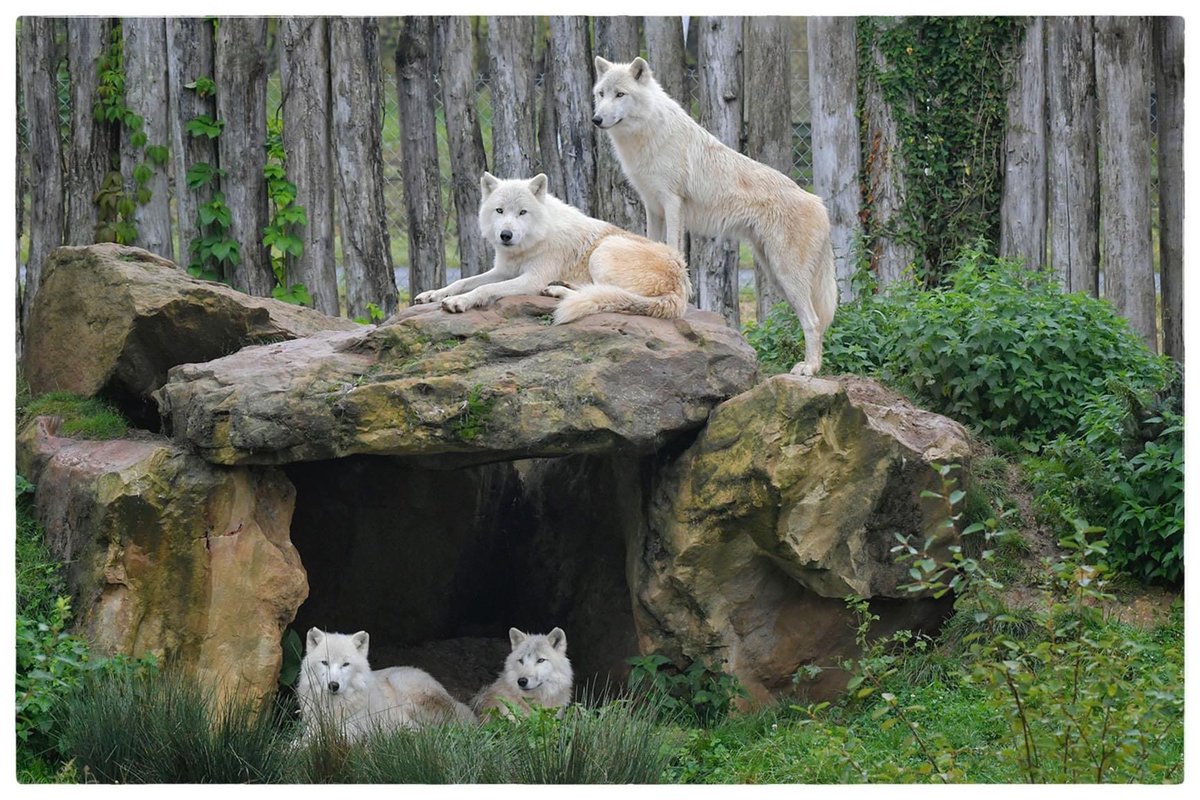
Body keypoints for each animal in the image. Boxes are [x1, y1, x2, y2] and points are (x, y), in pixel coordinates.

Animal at [296, 628, 475, 740]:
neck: (334, 706)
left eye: (345, 664)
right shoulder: (313, 726)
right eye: (324, 662)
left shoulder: (352, 729)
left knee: (427, 730)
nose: (333, 685)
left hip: (404, 687)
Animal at [413, 172, 691, 325]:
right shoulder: (504, 271)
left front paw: (459, 302)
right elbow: (463, 281)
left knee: (612, 296)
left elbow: (484, 289)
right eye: (500, 211)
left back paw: (558, 290)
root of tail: (680, 283)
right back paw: (559, 287)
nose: (506, 235)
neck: (534, 240)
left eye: (522, 212)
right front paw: (433, 294)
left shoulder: (530, 279)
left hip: (603, 251)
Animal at [592, 56, 838, 375]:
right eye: (601, 94)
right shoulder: (652, 207)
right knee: (815, 321)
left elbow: (673, 250)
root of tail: (819, 203)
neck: (647, 135)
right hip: (777, 277)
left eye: (620, 94)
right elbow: (654, 245)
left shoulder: (672, 203)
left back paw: (808, 369)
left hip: (788, 277)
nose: (596, 119)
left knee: (813, 321)